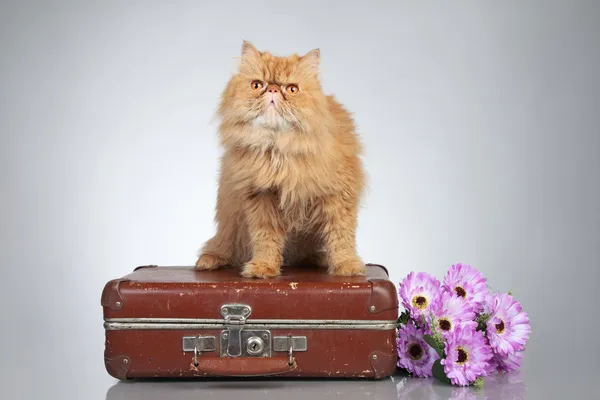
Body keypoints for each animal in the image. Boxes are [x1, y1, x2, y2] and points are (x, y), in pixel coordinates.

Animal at [197, 41, 366, 278]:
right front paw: (263, 267)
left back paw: (319, 260)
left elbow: (341, 236)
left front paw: (347, 266)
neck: (279, 150)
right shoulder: (260, 199)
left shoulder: (339, 196)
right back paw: (209, 260)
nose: (273, 89)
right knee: (222, 246)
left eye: (292, 89)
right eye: (257, 85)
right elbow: (265, 239)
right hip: (230, 224)